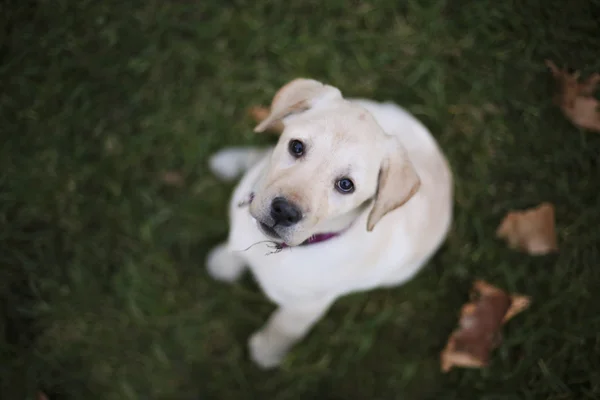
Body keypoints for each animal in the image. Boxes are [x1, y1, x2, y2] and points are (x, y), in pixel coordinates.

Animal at [205, 78, 450, 368]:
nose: (284, 211)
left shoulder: (306, 307)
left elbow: (285, 326)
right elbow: (235, 244)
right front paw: (224, 261)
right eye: (296, 147)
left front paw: (267, 350)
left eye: (346, 185)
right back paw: (231, 161)